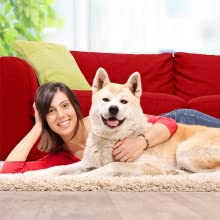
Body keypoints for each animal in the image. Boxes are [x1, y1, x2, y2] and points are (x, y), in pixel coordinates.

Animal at [26, 67, 220, 177]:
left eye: (123, 102)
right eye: (105, 99)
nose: (113, 109)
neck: (111, 139)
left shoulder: (145, 165)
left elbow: (110, 167)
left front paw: (80, 179)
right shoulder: (86, 162)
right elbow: (57, 168)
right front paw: (31, 175)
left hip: (185, 150)